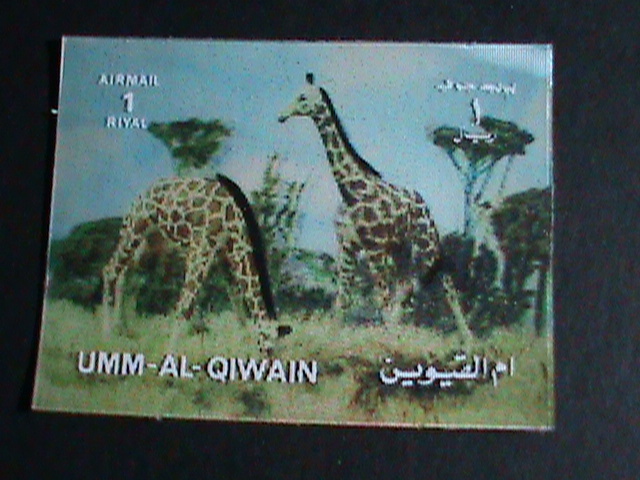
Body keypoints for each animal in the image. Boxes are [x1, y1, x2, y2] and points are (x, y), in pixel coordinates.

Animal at [102, 174, 291, 354]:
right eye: (271, 348)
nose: (271, 360)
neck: (234, 222)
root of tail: (139, 197)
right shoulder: (201, 249)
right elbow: (185, 305)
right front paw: (169, 354)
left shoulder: (225, 259)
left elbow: (237, 304)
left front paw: (243, 344)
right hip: (134, 230)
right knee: (110, 270)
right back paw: (108, 335)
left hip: (151, 246)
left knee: (126, 276)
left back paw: (123, 329)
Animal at [278, 73, 472, 342]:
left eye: (303, 97)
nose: (282, 116)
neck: (351, 191)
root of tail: (424, 205)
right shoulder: (347, 247)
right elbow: (343, 300)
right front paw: (332, 338)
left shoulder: (374, 250)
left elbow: (381, 300)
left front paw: (388, 342)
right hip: (401, 253)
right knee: (404, 289)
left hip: (427, 245)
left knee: (444, 284)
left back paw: (469, 341)